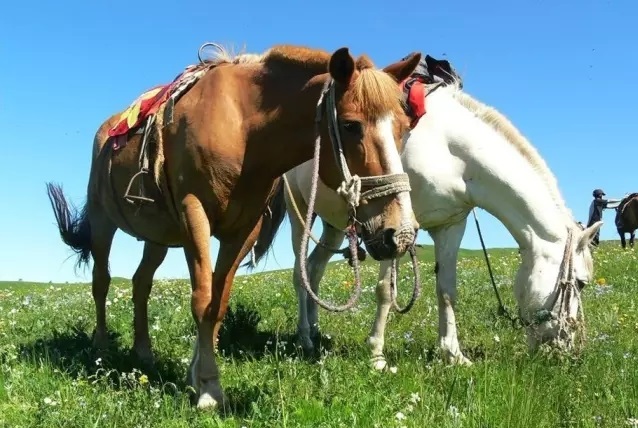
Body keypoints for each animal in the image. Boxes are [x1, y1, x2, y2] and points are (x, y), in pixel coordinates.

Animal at [46, 44, 424, 412]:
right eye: (350, 125)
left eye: (405, 127)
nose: (400, 233)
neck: (243, 129)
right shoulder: (194, 215)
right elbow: (202, 299)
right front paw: (208, 391)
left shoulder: (244, 229)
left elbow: (218, 303)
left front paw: (200, 379)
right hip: (103, 222)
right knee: (101, 281)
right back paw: (100, 346)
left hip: (159, 237)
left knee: (141, 283)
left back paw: (143, 351)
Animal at [284, 78, 604, 370]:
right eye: (581, 283)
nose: (568, 349)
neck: (448, 151)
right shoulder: (390, 230)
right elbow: (386, 291)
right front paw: (376, 354)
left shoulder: (451, 225)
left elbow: (448, 290)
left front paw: (453, 354)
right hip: (299, 212)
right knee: (300, 272)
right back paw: (305, 338)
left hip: (335, 227)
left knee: (314, 269)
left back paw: (316, 330)